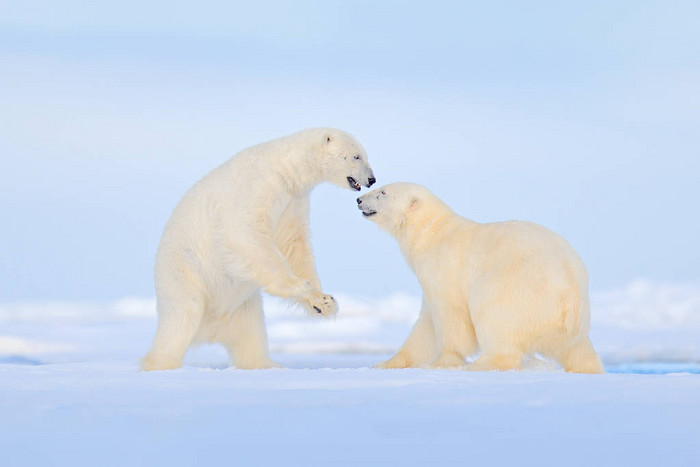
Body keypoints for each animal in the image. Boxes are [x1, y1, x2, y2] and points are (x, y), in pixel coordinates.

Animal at [139, 126, 374, 372]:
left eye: (363, 155)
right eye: (356, 156)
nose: (371, 179)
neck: (286, 170)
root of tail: (209, 330)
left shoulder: (292, 202)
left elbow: (293, 245)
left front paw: (324, 302)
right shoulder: (257, 187)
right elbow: (245, 233)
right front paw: (299, 285)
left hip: (244, 308)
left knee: (251, 339)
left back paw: (268, 365)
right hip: (183, 276)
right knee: (180, 321)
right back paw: (161, 364)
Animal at [358, 181, 604, 374]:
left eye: (383, 192)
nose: (359, 199)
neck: (430, 231)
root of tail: (569, 293)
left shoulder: (443, 267)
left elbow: (450, 315)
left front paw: (441, 362)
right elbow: (424, 326)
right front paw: (386, 363)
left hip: (516, 288)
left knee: (494, 317)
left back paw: (481, 364)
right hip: (573, 320)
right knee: (578, 349)